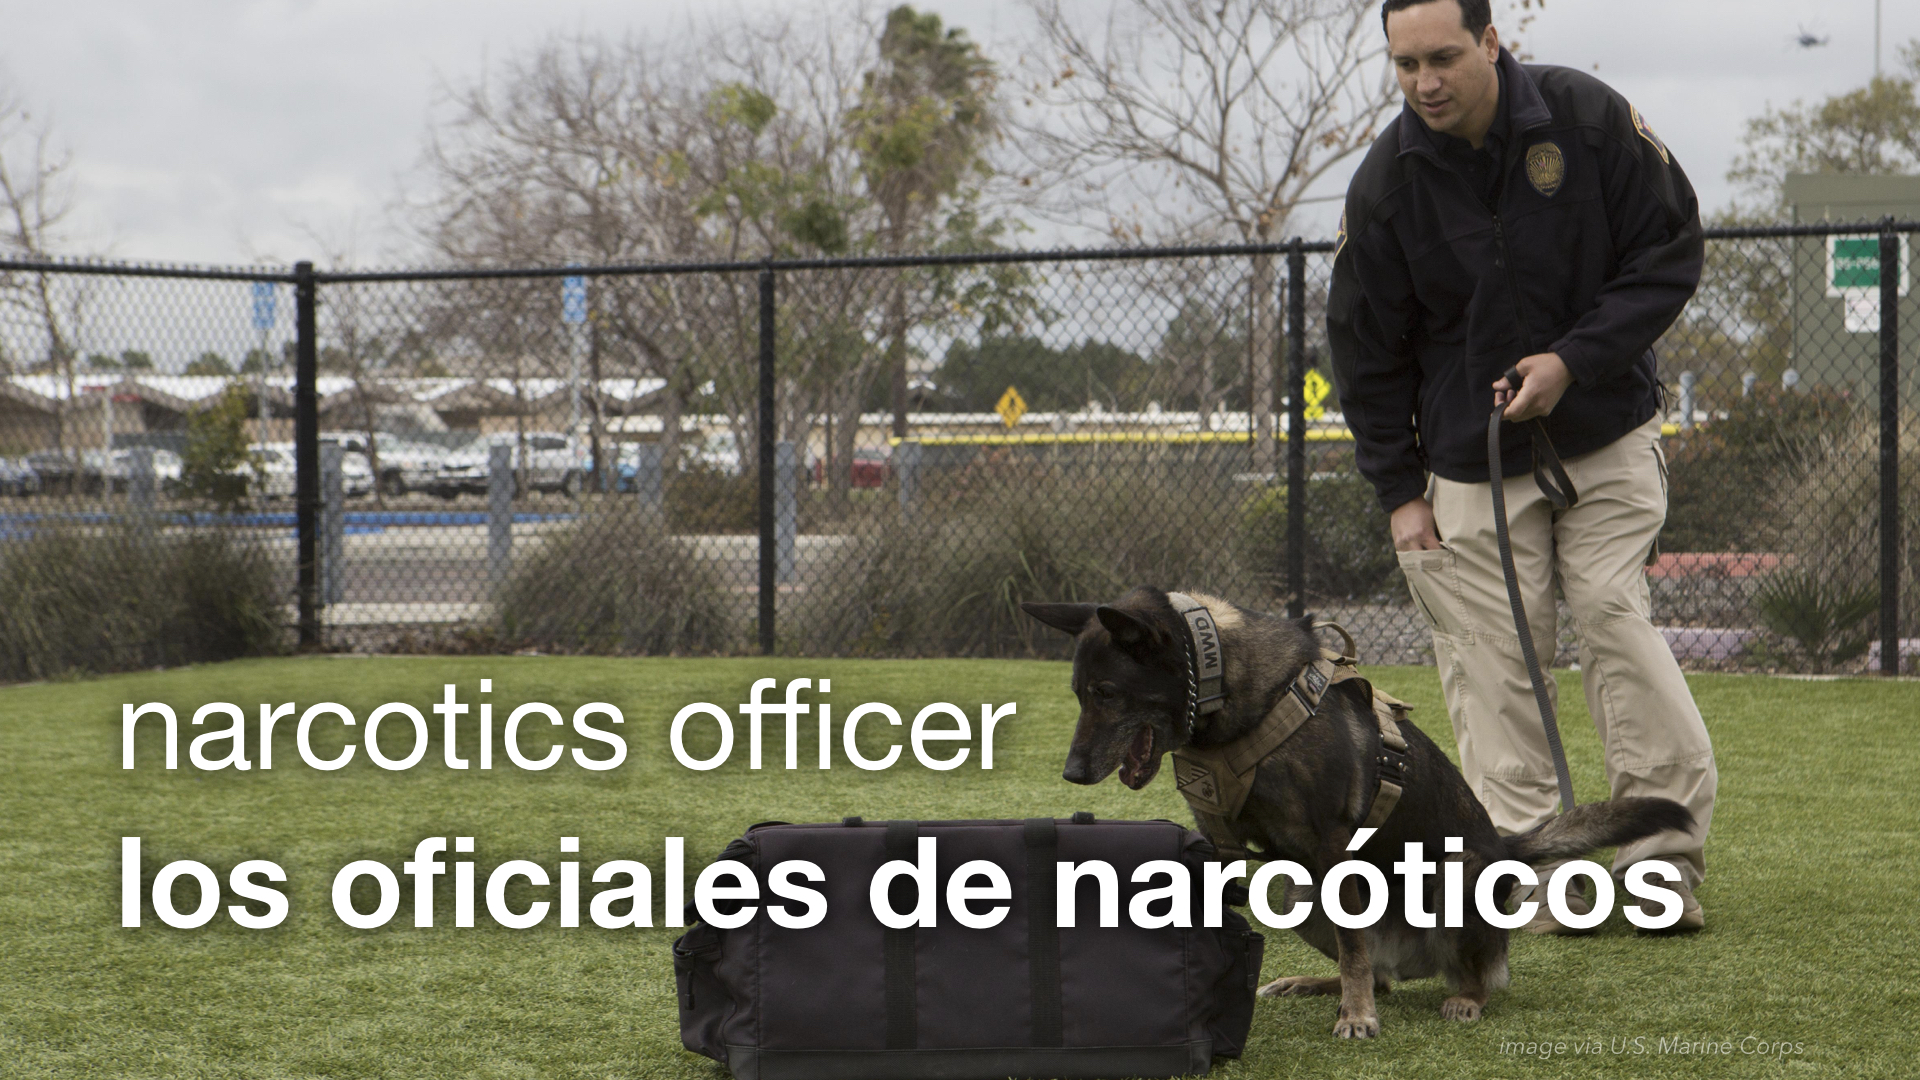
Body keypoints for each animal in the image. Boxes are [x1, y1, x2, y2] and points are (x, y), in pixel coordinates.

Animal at [1023, 586, 1694, 1039]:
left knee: (1464, 972)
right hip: (1291, 889)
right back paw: (1314, 985)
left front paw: (1358, 1018)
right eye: (1079, 695)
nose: (1072, 773)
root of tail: (1506, 849)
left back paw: (1462, 999)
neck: (1231, 700)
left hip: (1455, 877)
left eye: (1107, 694)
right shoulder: (1222, 848)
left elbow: (1352, 949)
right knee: (1380, 971)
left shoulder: (1331, 846)